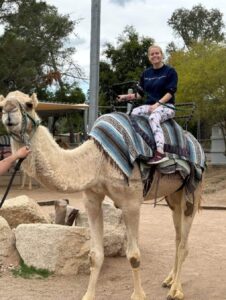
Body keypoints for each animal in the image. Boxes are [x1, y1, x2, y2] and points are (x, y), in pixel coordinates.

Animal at [0, 91, 203, 300]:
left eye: (29, 104)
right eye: (1, 105)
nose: (8, 111)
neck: (98, 159)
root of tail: (195, 142)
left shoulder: (131, 202)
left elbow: (134, 256)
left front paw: (139, 295)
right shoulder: (92, 198)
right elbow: (95, 255)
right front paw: (88, 295)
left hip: (193, 189)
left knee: (183, 242)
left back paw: (176, 290)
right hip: (173, 195)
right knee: (178, 236)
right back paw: (169, 280)